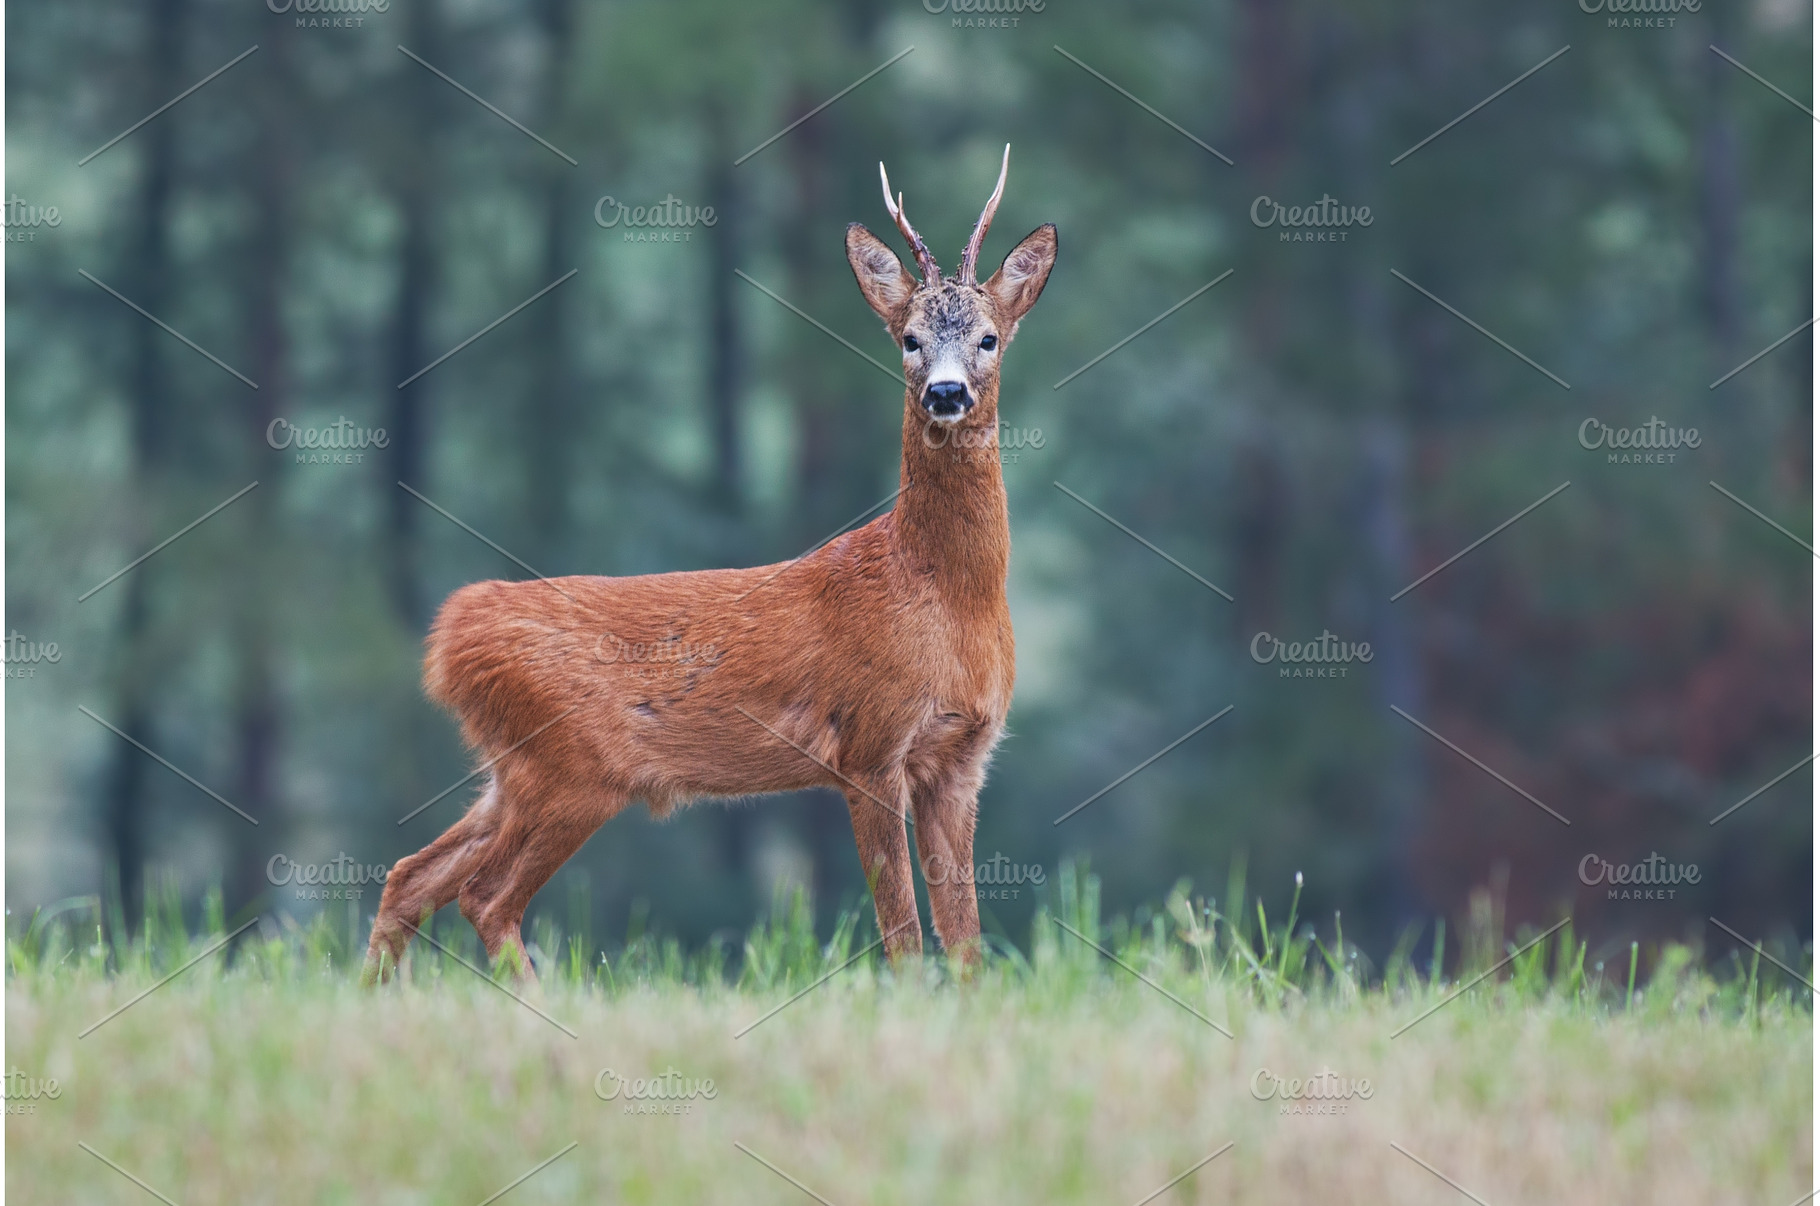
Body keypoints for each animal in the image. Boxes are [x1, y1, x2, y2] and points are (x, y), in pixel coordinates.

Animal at [362, 146, 1057, 986]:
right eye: (909, 338)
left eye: (988, 338)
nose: (946, 393)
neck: (939, 595)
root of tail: (449, 638)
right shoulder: (867, 743)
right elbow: (903, 931)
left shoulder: (960, 757)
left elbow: (966, 941)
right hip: (573, 768)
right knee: (486, 896)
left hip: (512, 769)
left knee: (410, 875)